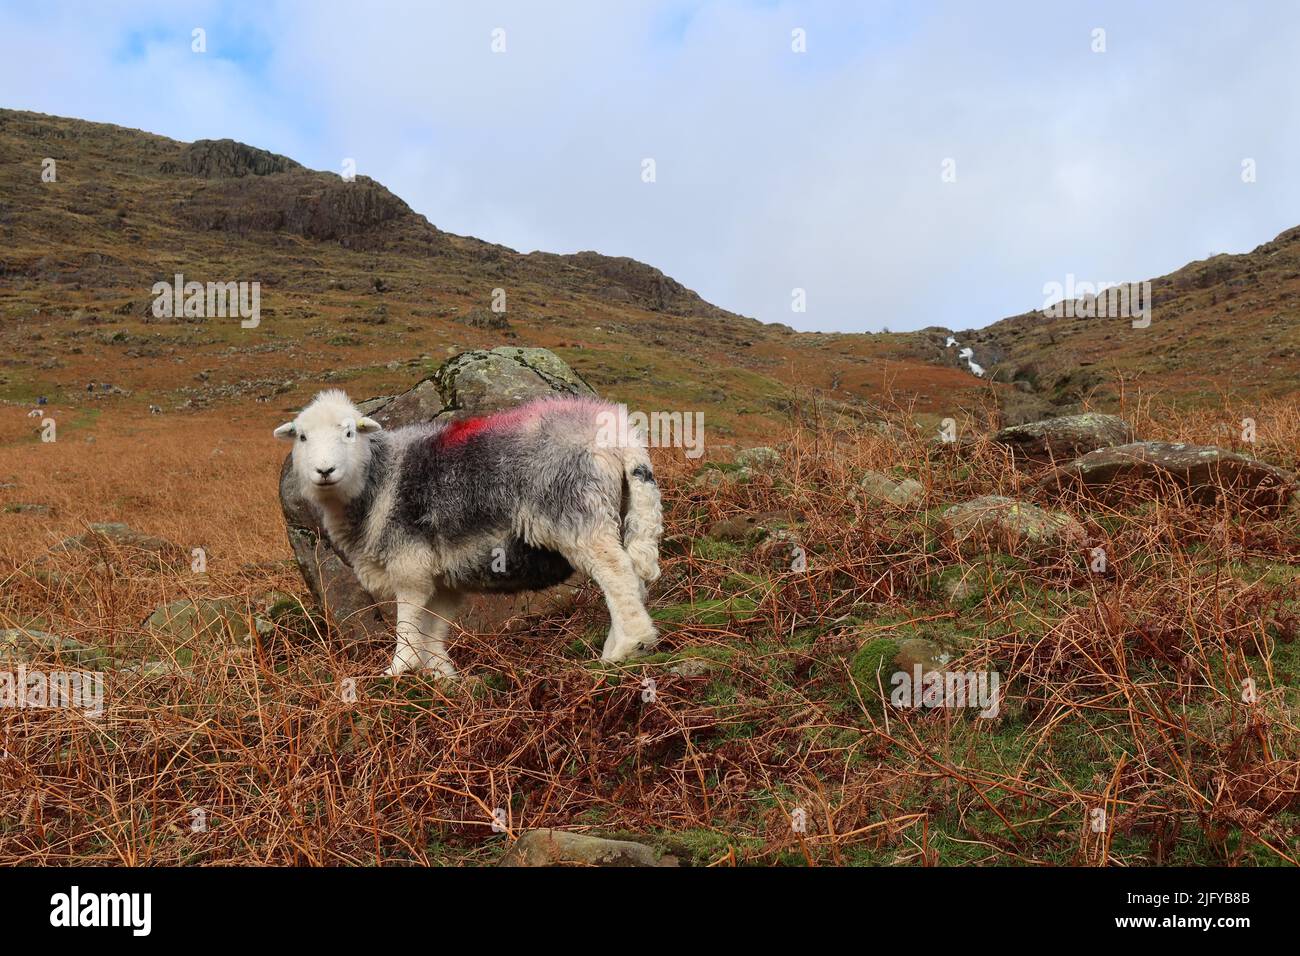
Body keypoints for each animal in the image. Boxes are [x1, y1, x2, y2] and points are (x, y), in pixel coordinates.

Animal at [275, 389, 664, 677]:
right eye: (303, 437)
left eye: (349, 433)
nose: (324, 470)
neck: (377, 477)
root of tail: (620, 436)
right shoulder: (444, 578)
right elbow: (434, 630)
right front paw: (441, 676)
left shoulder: (409, 564)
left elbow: (408, 622)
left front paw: (398, 671)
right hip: (622, 509)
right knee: (631, 577)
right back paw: (620, 645)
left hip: (578, 513)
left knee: (617, 574)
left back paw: (628, 647)